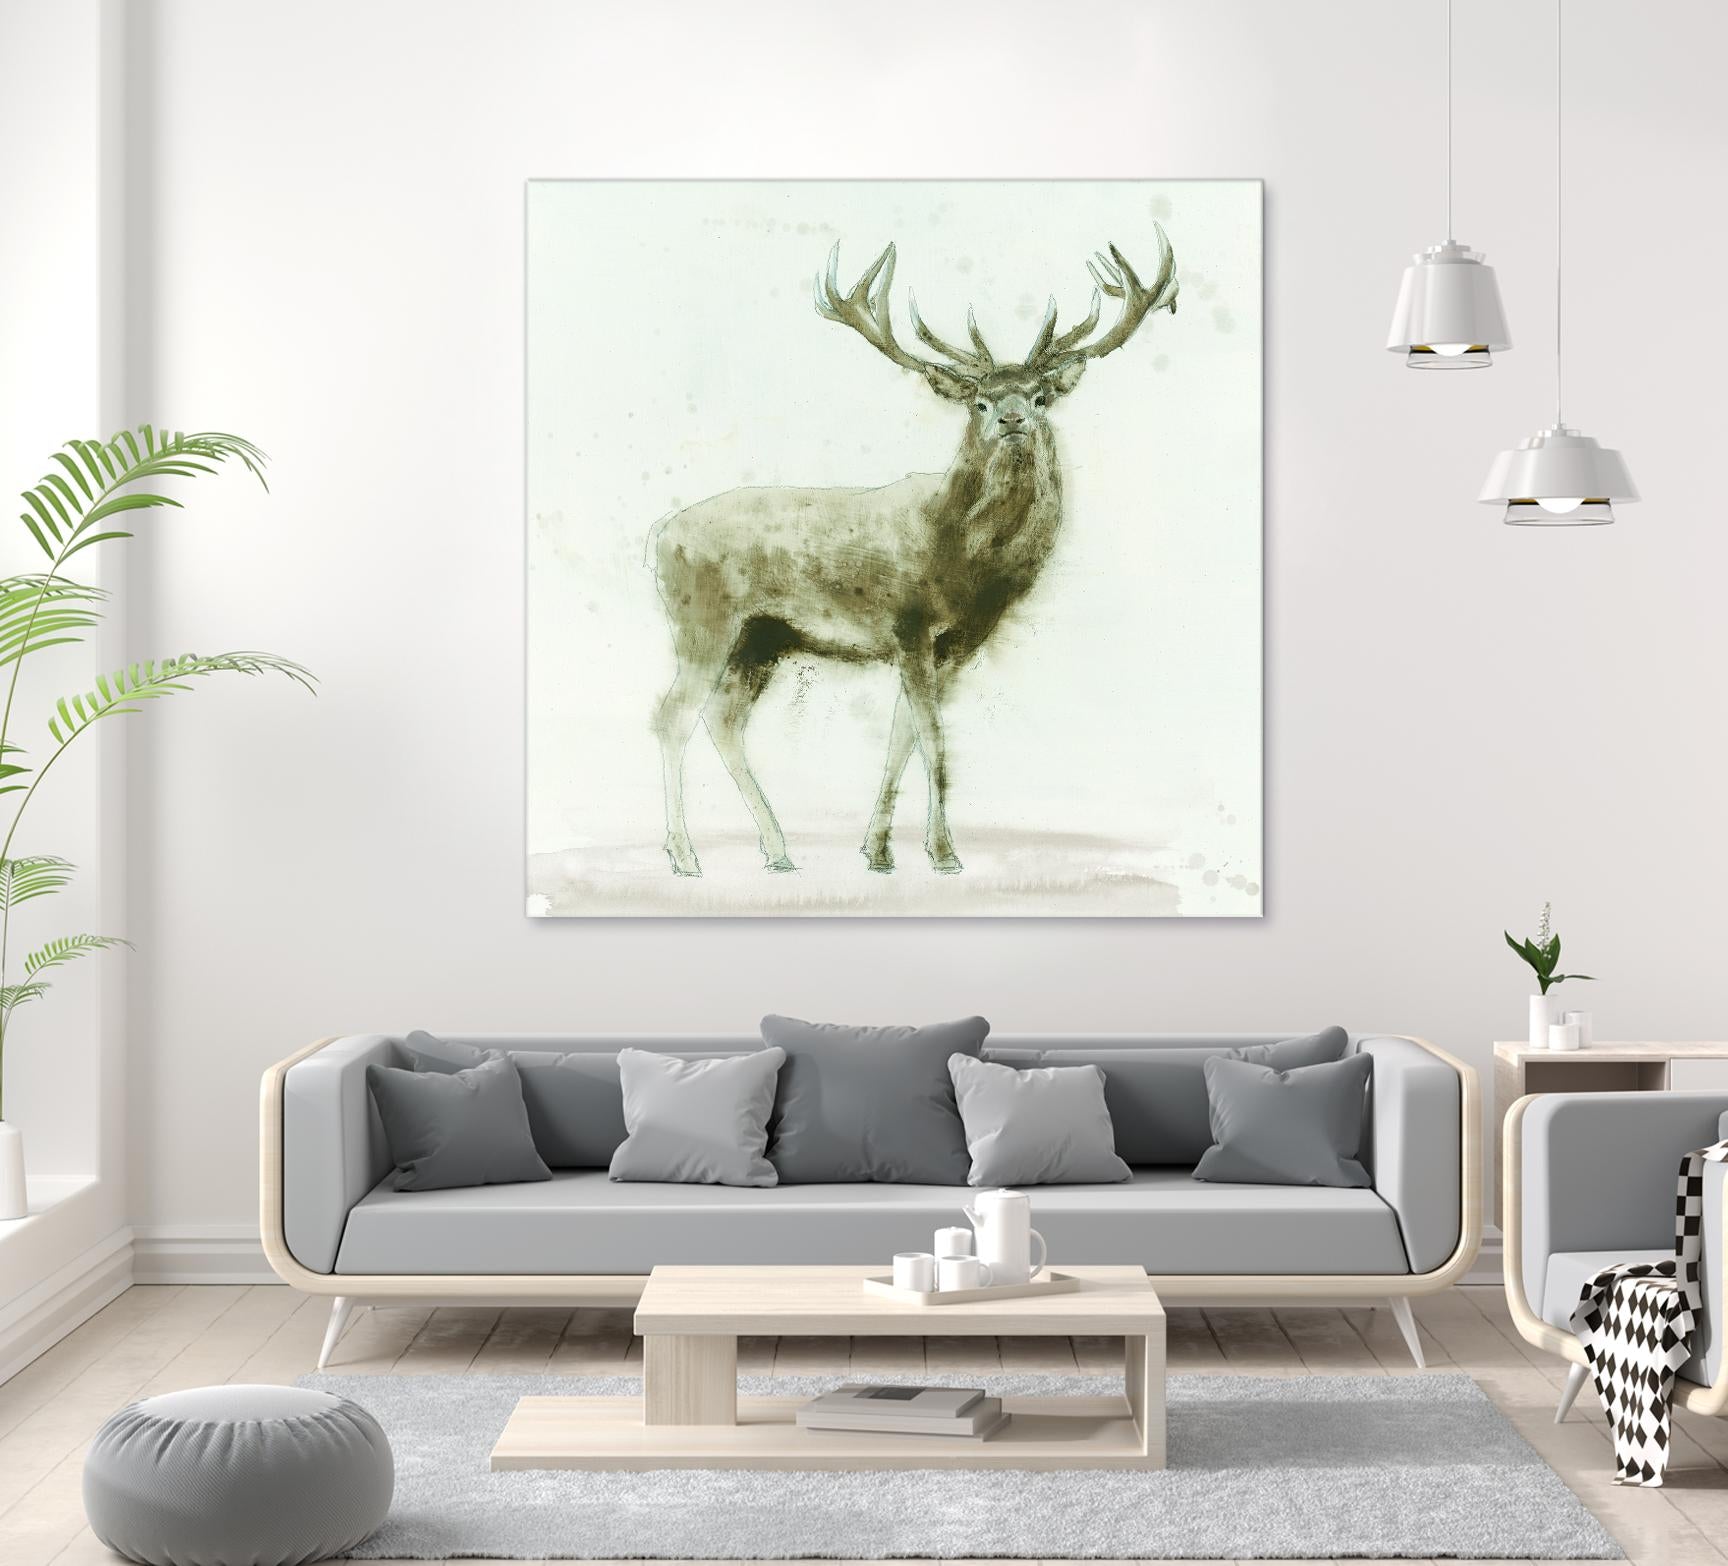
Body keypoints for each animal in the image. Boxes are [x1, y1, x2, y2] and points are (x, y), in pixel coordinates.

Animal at [649, 225, 1178, 878]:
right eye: (979, 401)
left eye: (1039, 397)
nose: (1011, 419)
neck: (963, 561)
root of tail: (658, 537)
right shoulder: (908, 624)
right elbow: (935, 739)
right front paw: (945, 854)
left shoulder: (955, 643)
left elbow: (903, 733)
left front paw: (878, 850)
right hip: (703, 620)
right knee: (672, 716)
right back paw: (685, 856)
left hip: (763, 638)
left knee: (722, 720)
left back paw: (777, 850)